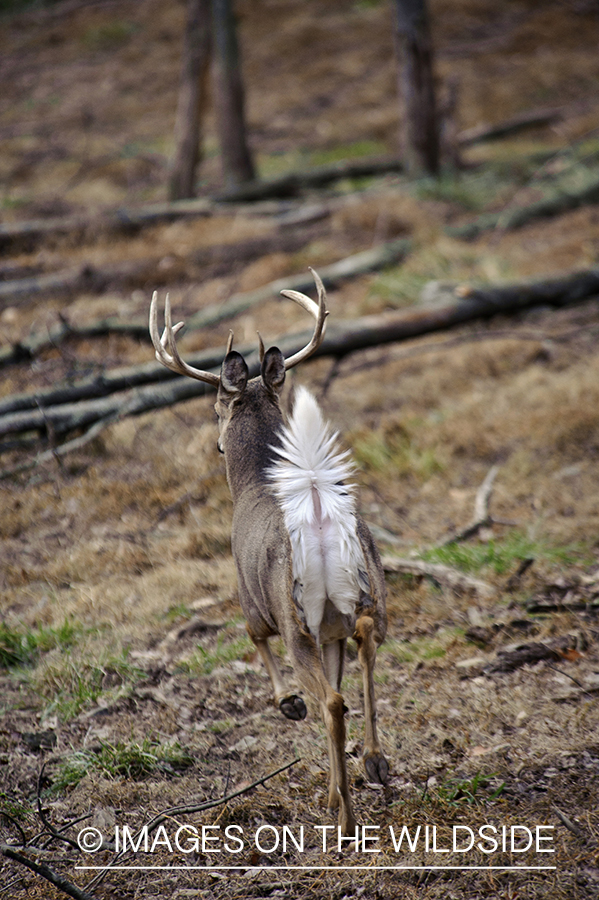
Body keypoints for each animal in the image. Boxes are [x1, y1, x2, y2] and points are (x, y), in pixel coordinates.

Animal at [151, 270, 390, 832]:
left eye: (216, 407)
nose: (216, 442)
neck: (258, 478)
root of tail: (320, 517)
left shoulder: (251, 597)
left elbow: (251, 637)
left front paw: (287, 703)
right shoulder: (330, 633)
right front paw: (333, 786)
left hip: (293, 612)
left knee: (331, 700)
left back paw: (346, 817)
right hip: (362, 591)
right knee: (366, 646)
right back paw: (372, 765)